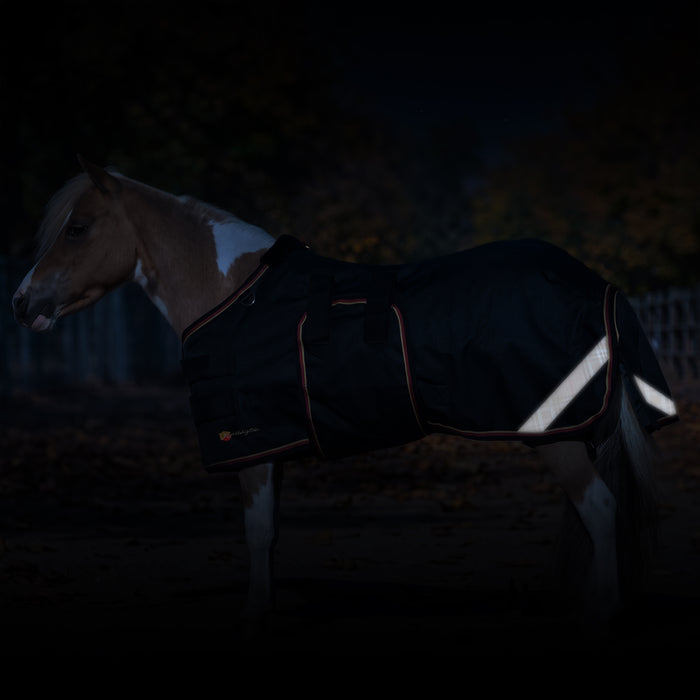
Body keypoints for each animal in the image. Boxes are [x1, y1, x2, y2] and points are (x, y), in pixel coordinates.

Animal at [12, 157, 677, 626]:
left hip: (553, 433)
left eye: (78, 229)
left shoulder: (250, 445)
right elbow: (270, 533)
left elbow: (255, 531)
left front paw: (253, 614)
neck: (234, 296)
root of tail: (592, 281)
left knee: (599, 508)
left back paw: (601, 612)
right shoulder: (274, 447)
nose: (22, 302)